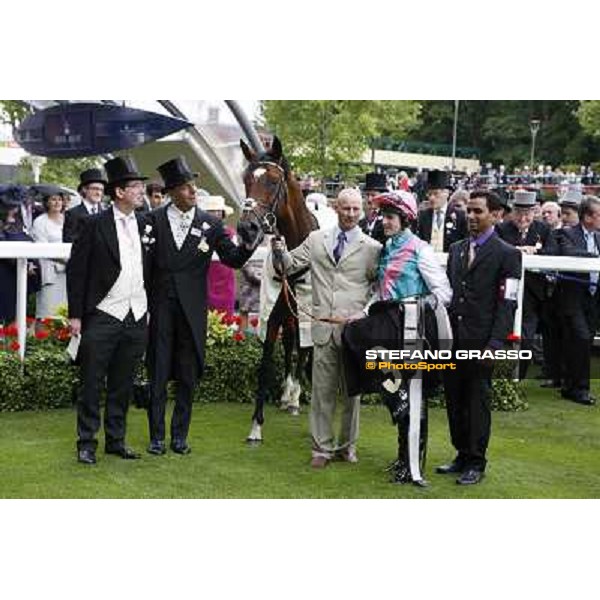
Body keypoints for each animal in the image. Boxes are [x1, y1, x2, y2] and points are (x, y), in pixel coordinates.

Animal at [241, 137, 322, 446]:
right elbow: (266, 364)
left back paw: (294, 397)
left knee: (303, 349)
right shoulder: (274, 314)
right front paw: (256, 426)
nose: (247, 227)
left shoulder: (310, 315)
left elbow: (306, 349)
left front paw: (297, 397)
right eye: (246, 179)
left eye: (274, 181)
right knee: (290, 345)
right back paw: (287, 393)